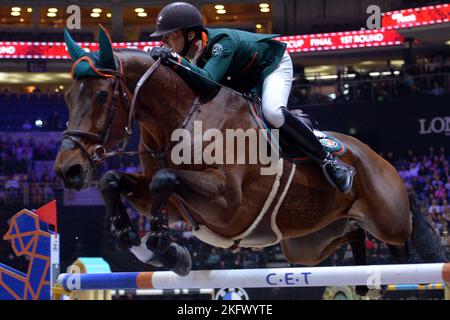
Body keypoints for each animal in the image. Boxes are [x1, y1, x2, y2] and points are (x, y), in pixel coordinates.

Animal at [54, 28, 444, 296]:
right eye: (67, 97)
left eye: (101, 96)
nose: (67, 169)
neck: (180, 116)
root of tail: (383, 161)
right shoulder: (178, 201)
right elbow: (116, 182)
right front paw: (134, 239)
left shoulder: (228, 202)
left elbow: (164, 179)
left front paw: (163, 246)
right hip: (306, 246)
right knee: (353, 233)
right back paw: (363, 280)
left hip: (390, 221)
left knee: (405, 244)